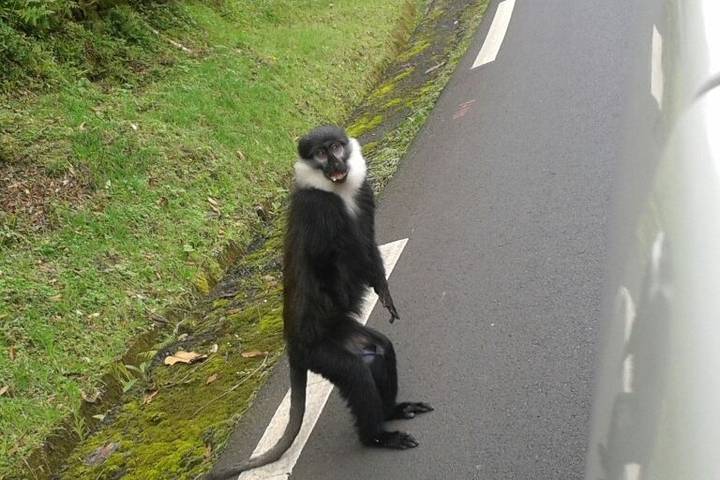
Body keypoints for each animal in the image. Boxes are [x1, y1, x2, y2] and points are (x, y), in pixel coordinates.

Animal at [207, 126, 432, 480]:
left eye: (337, 147)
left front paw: (383, 291)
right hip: (319, 352)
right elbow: (325, 260)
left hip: (341, 332)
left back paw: (391, 410)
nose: (336, 162)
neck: (336, 192)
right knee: (355, 372)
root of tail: (293, 345)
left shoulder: (364, 195)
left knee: (379, 351)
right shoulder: (318, 210)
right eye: (322, 153)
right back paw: (377, 436)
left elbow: (368, 243)